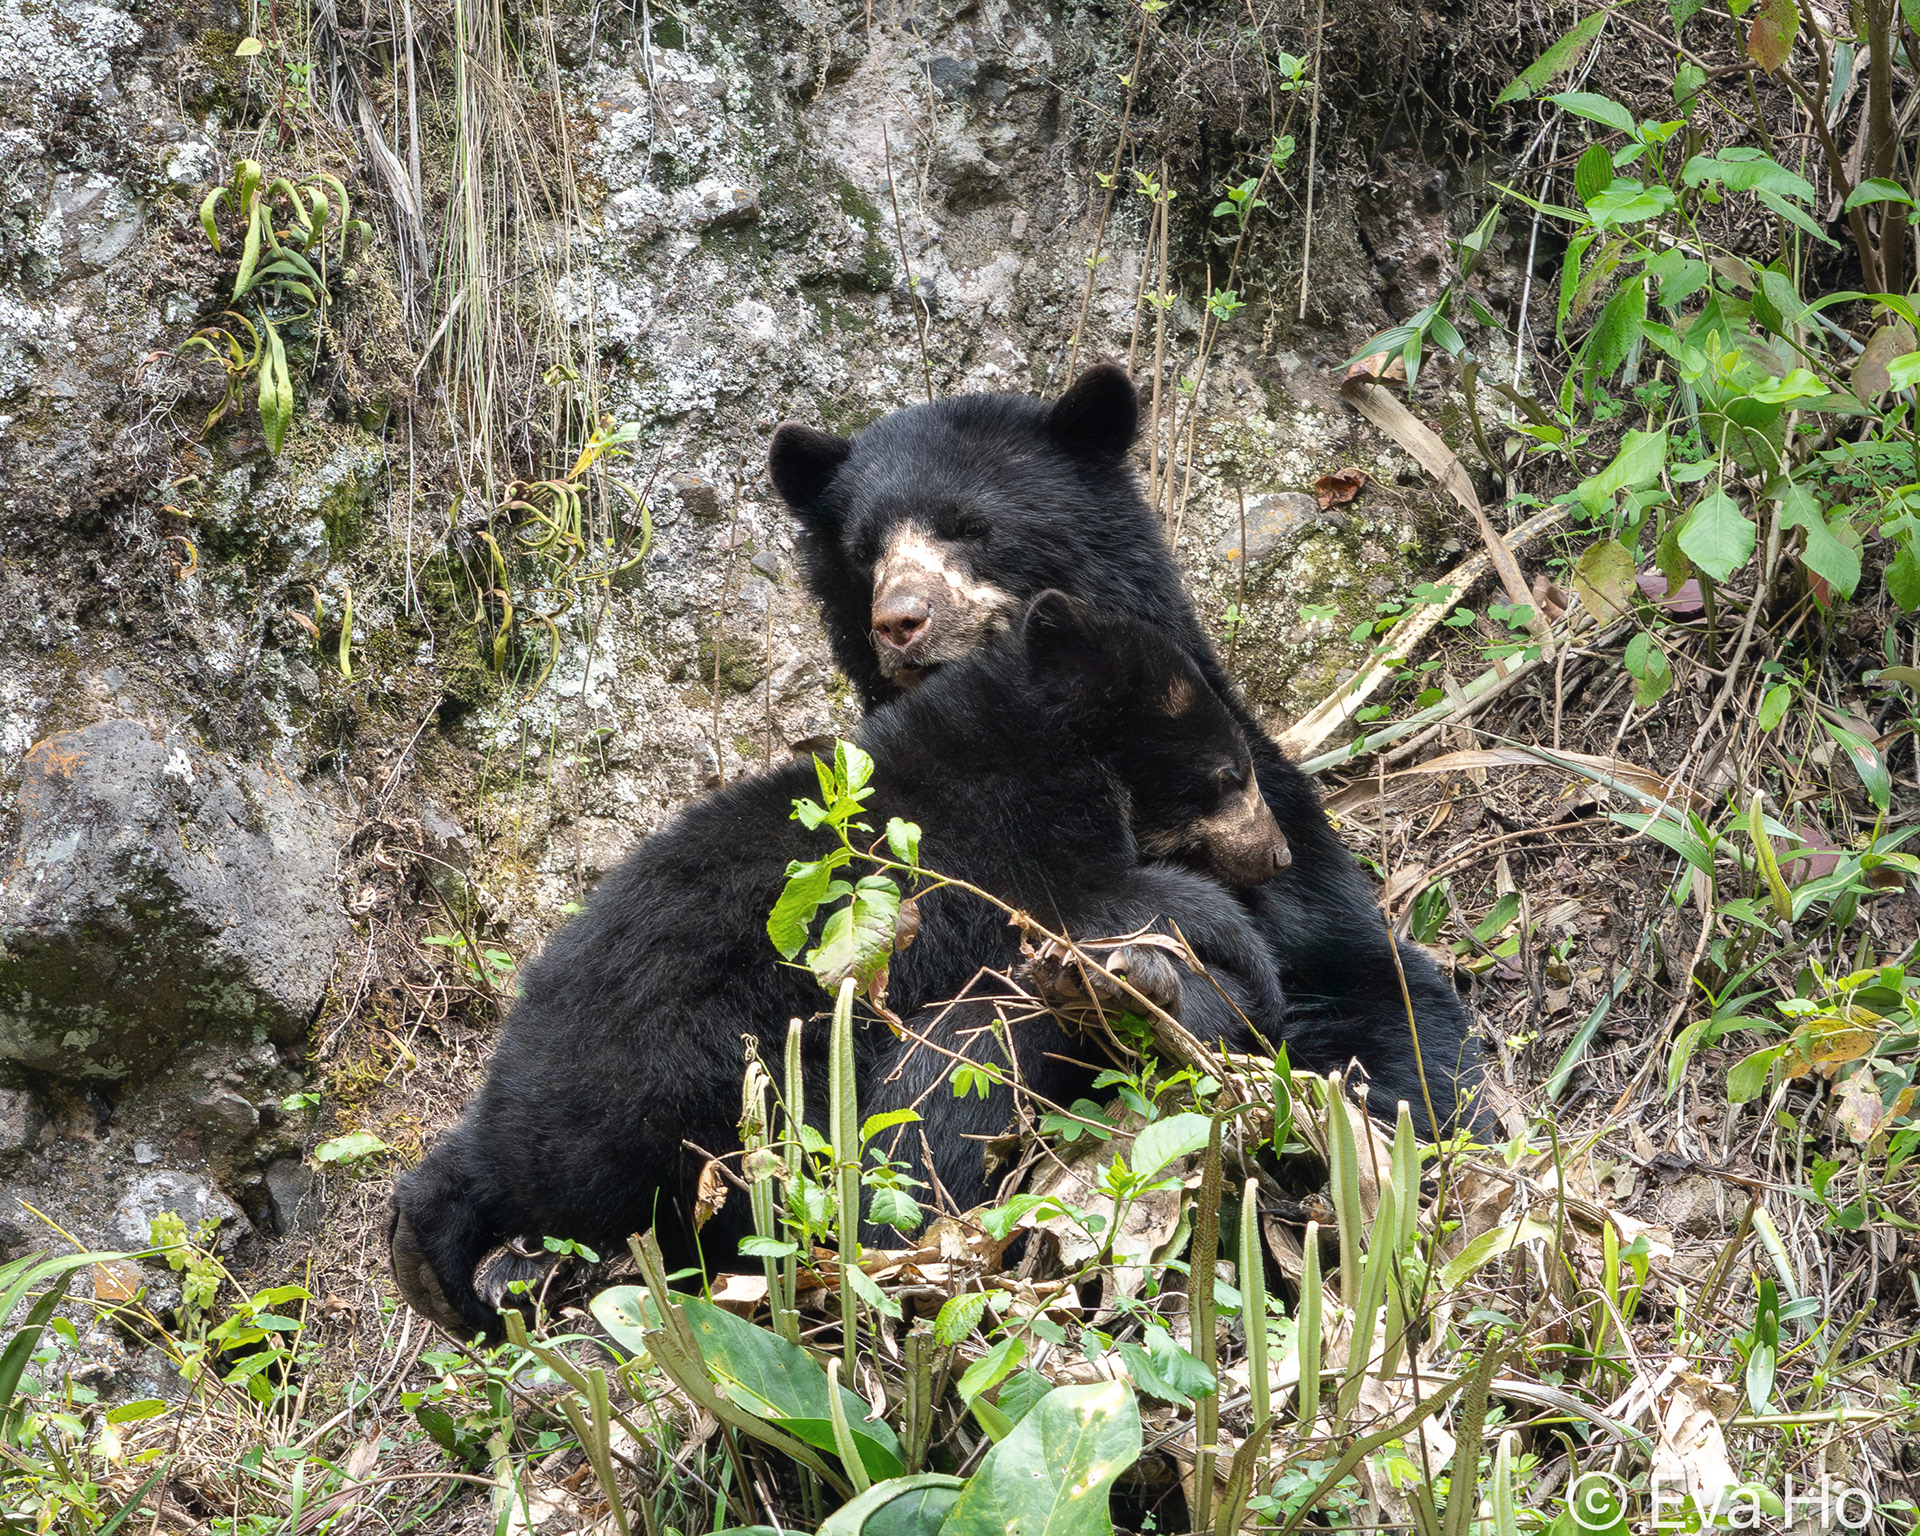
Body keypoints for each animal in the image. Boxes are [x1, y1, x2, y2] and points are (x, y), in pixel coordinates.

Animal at [389, 592, 1291, 1340]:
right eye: (1230, 774)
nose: (1278, 852)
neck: (1046, 743)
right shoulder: (1009, 848)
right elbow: (1097, 906)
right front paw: (1226, 933)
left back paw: (434, 1261)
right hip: (722, 1090)